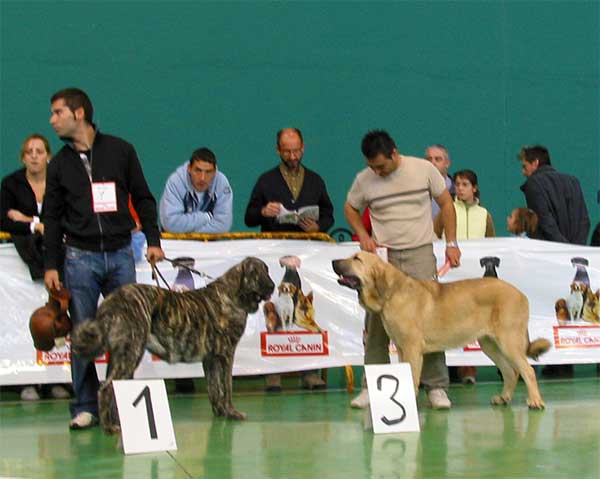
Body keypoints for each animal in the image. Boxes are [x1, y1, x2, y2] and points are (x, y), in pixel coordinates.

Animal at [72, 258, 274, 436]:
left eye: (267, 270)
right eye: (254, 272)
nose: (272, 286)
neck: (233, 295)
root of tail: (111, 300)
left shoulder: (211, 359)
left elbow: (214, 388)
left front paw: (220, 412)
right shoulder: (226, 355)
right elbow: (227, 387)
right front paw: (232, 412)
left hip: (119, 357)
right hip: (130, 353)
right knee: (105, 389)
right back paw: (109, 428)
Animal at [332, 251, 552, 408]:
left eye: (356, 259)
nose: (333, 261)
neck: (391, 293)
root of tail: (521, 294)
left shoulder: (412, 349)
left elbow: (412, 377)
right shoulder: (402, 349)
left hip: (508, 341)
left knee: (527, 370)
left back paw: (535, 401)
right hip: (490, 344)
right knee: (510, 372)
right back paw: (503, 398)